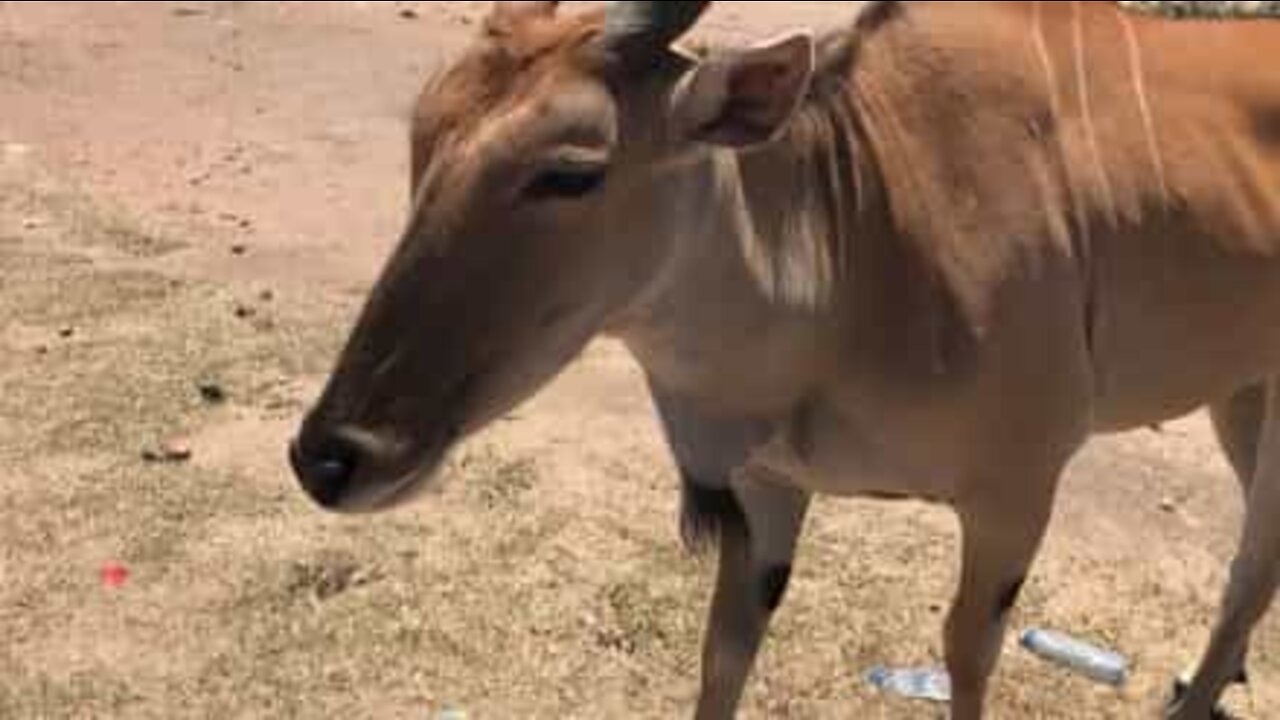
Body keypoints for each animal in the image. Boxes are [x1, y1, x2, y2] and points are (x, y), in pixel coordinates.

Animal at [290, 2, 1280, 712]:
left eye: (570, 169)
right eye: (423, 134)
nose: (327, 457)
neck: (859, 231)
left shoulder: (1016, 492)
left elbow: (967, 655)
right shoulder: (766, 489)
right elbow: (725, 650)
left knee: (1248, 564)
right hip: (1243, 397)